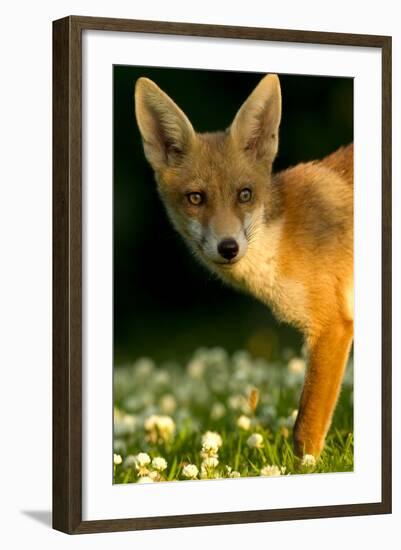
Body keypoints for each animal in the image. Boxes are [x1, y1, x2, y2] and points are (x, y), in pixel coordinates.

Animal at [135, 74, 354, 462]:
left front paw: (304, 468)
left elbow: (306, 428)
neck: (282, 240)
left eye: (245, 194)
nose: (228, 247)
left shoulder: (333, 326)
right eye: (196, 198)